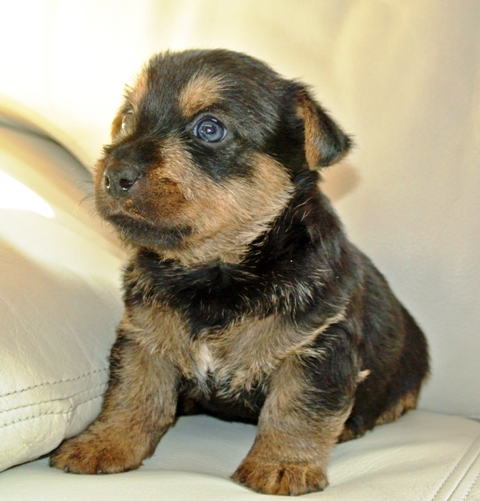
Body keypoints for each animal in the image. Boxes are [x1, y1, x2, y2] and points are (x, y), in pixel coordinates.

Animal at [50, 48, 430, 494]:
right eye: (127, 119)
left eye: (210, 129)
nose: (114, 174)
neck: (215, 272)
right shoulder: (143, 338)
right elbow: (132, 395)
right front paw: (104, 443)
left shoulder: (319, 348)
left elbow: (296, 410)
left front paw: (282, 466)